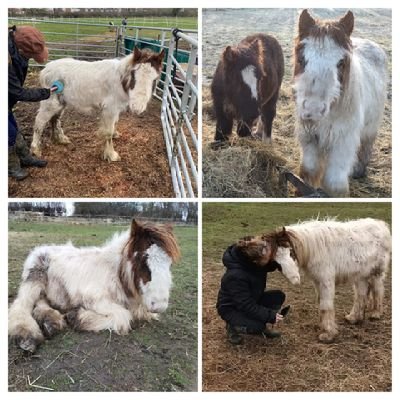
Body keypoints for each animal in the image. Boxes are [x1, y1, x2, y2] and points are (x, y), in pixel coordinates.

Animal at [8, 219, 180, 354]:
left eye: (170, 263)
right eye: (143, 261)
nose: (159, 305)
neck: (114, 272)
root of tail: (39, 249)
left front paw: (75, 317)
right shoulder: (94, 299)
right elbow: (123, 316)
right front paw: (77, 317)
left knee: (41, 302)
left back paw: (50, 322)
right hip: (34, 279)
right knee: (21, 305)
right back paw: (27, 336)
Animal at [30, 48, 166, 162]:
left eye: (155, 79)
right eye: (133, 75)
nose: (137, 107)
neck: (120, 80)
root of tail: (45, 69)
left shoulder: (115, 109)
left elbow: (115, 124)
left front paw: (115, 135)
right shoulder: (109, 109)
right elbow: (108, 132)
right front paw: (111, 155)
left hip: (61, 102)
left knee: (55, 118)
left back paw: (60, 139)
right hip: (50, 102)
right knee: (39, 122)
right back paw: (35, 149)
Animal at [294, 10, 388, 196]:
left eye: (341, 62)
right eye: (301, 58)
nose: (313, 109)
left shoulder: (343, 142)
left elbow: (335, 183)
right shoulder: (309, 137)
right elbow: (308, 171)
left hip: (371, 126)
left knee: (366, 145)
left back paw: (359, 171)